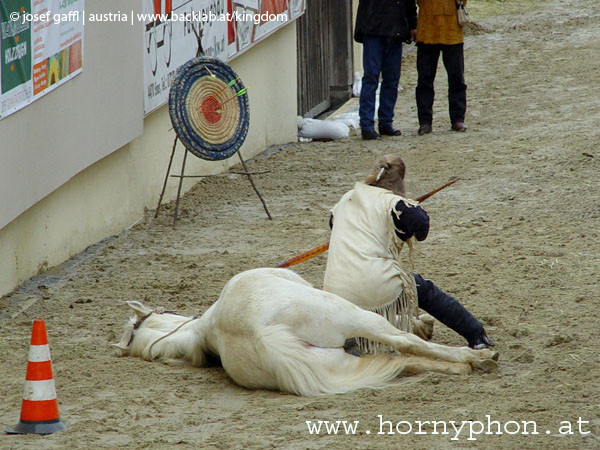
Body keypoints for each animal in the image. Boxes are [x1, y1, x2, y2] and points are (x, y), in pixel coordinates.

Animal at [113, 268, 496, 396]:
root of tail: (265, 340)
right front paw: (423, 322)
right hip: (350, 316)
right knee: (404, 345)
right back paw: (478, 357)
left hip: (341, 362)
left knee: (405, 360)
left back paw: (463, 367)